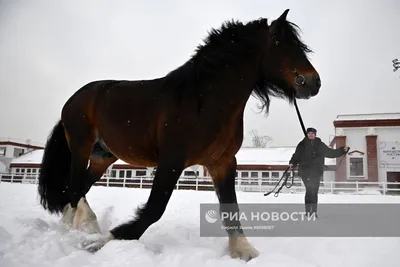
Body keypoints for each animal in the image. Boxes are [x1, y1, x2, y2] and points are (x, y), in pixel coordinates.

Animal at [36, 8, 318, 262]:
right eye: (285, 45)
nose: (314, 82)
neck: (203, 100)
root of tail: (74, 100)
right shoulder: (172, 161)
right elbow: (155, 208)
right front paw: (109, 240)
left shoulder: (223, 162)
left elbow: (230, 207)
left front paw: (243, 250)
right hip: (81, 148)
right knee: (73, 189)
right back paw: (83, 232)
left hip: (102, 157)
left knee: (79, 189)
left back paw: (81, 228)